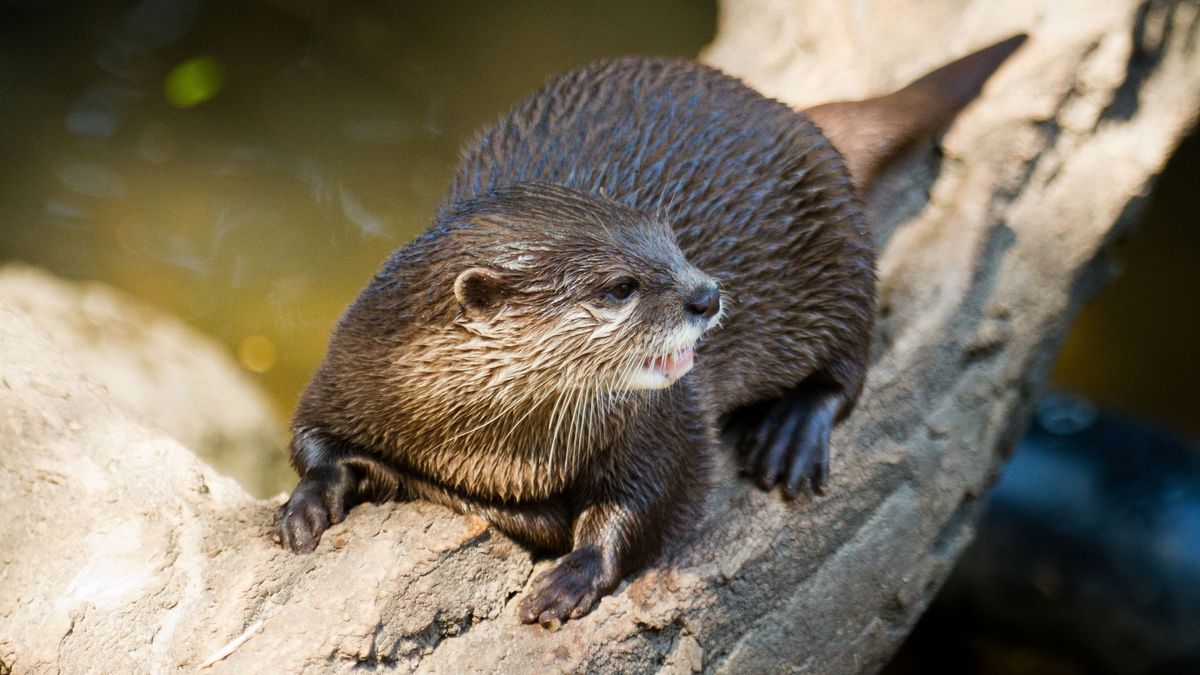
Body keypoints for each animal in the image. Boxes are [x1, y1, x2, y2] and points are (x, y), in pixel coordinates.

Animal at [279, 35, 1027, 626]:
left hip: (839, 242)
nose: (708, 293)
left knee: (847, 362)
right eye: (619, 287)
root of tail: (782, 108)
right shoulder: (351, 365)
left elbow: (653, 501)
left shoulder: (658, 424)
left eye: (675, 246)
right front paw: (306, 504)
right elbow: (310, 438)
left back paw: (790, 433)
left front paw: (574, 572)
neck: (493, 451)